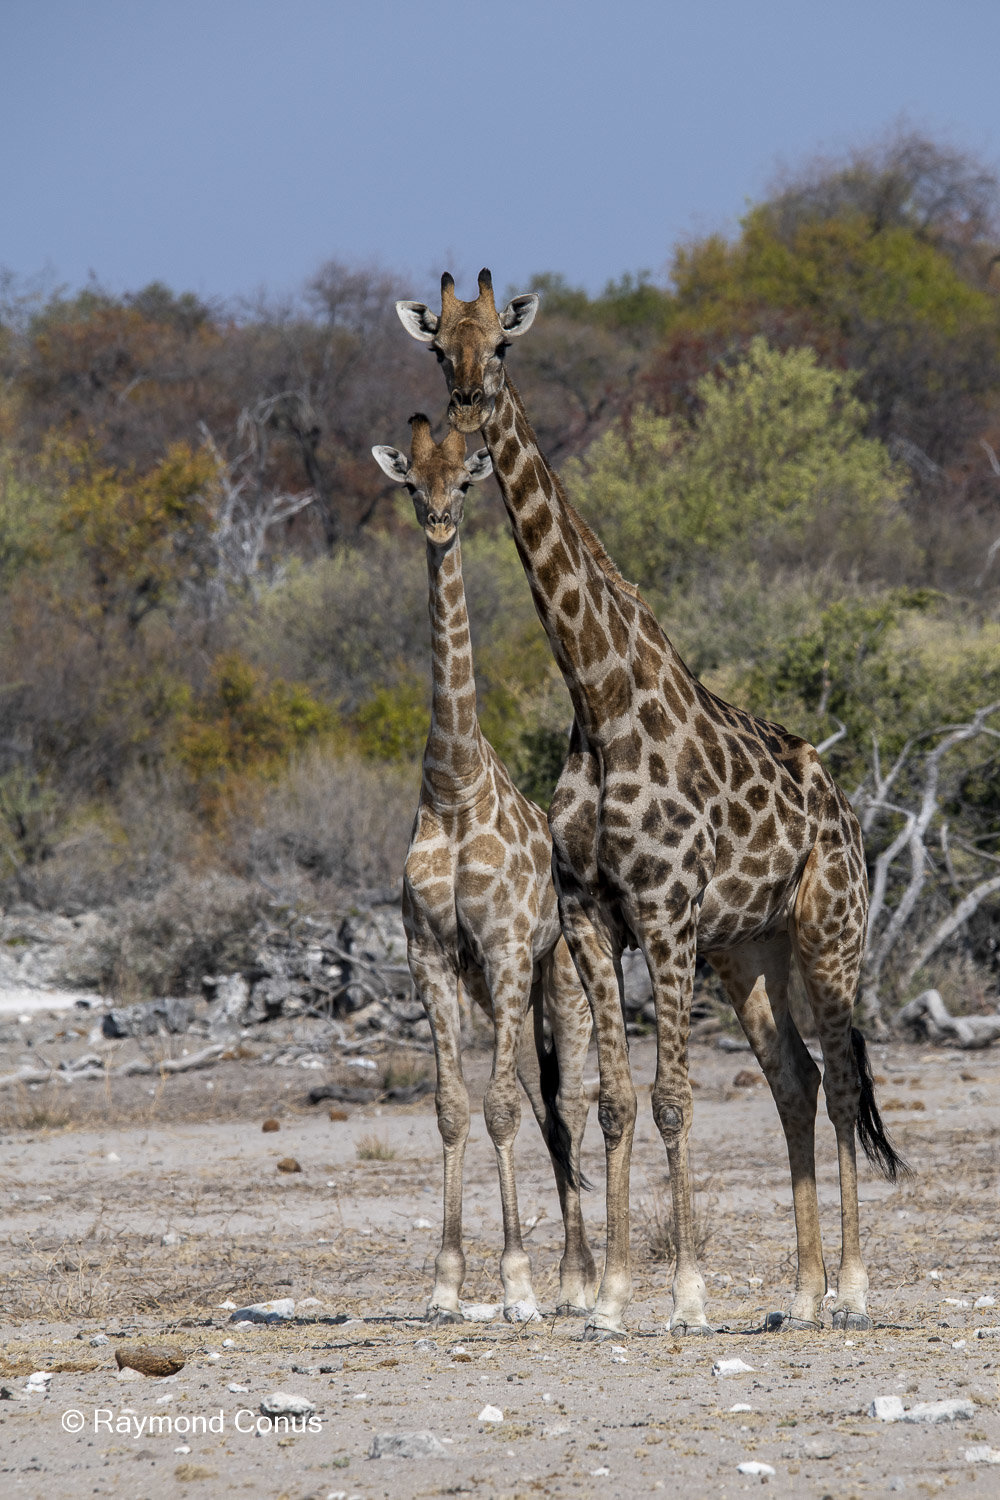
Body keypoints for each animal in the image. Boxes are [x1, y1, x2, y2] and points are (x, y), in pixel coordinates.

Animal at [396, 272, 905, 1339]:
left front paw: (688, 1295)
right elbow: (615, 1103)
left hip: (829, 930)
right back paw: (799, 1293)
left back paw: (849, 1288)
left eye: (501, 345)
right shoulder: (594, 915)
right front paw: (611, 1298)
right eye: (437, 348)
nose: (465, 412)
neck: (598, 695)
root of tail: (846, 809)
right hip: (748, 948)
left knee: (843, 1081)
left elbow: (673, 1099)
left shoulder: (665, 913)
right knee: (794, 1080)